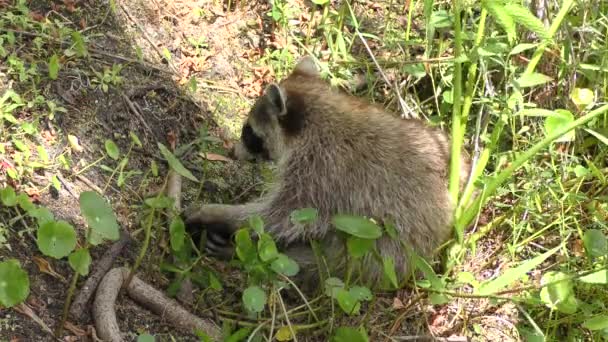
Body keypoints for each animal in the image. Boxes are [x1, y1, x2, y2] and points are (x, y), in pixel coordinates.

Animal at [185, 56, 470, 288]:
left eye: (248, 132)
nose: (233, 153)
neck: (318, 115)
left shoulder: (320, 172)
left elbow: (281, 217)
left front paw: (220, 214)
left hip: (381, 252)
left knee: (319, 265)